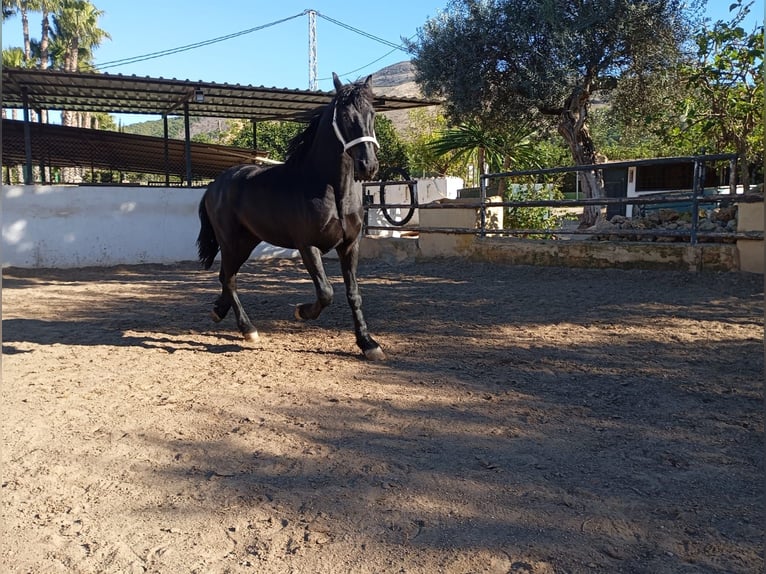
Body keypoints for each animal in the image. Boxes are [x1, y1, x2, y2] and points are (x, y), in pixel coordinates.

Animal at [196, 73, 385, 360]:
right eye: (344, 115)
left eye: (372, 114)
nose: (368, 166)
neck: (332, 191)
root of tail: (214, 185)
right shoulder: (308, 246)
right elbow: (326, 292)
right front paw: (301, 312)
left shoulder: (350, 245)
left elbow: (354, 293)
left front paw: (368, 343)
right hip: (230, 242)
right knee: (229, 279)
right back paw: (248, 329)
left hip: (246, 242)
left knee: (225, 277)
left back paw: (219, 311)